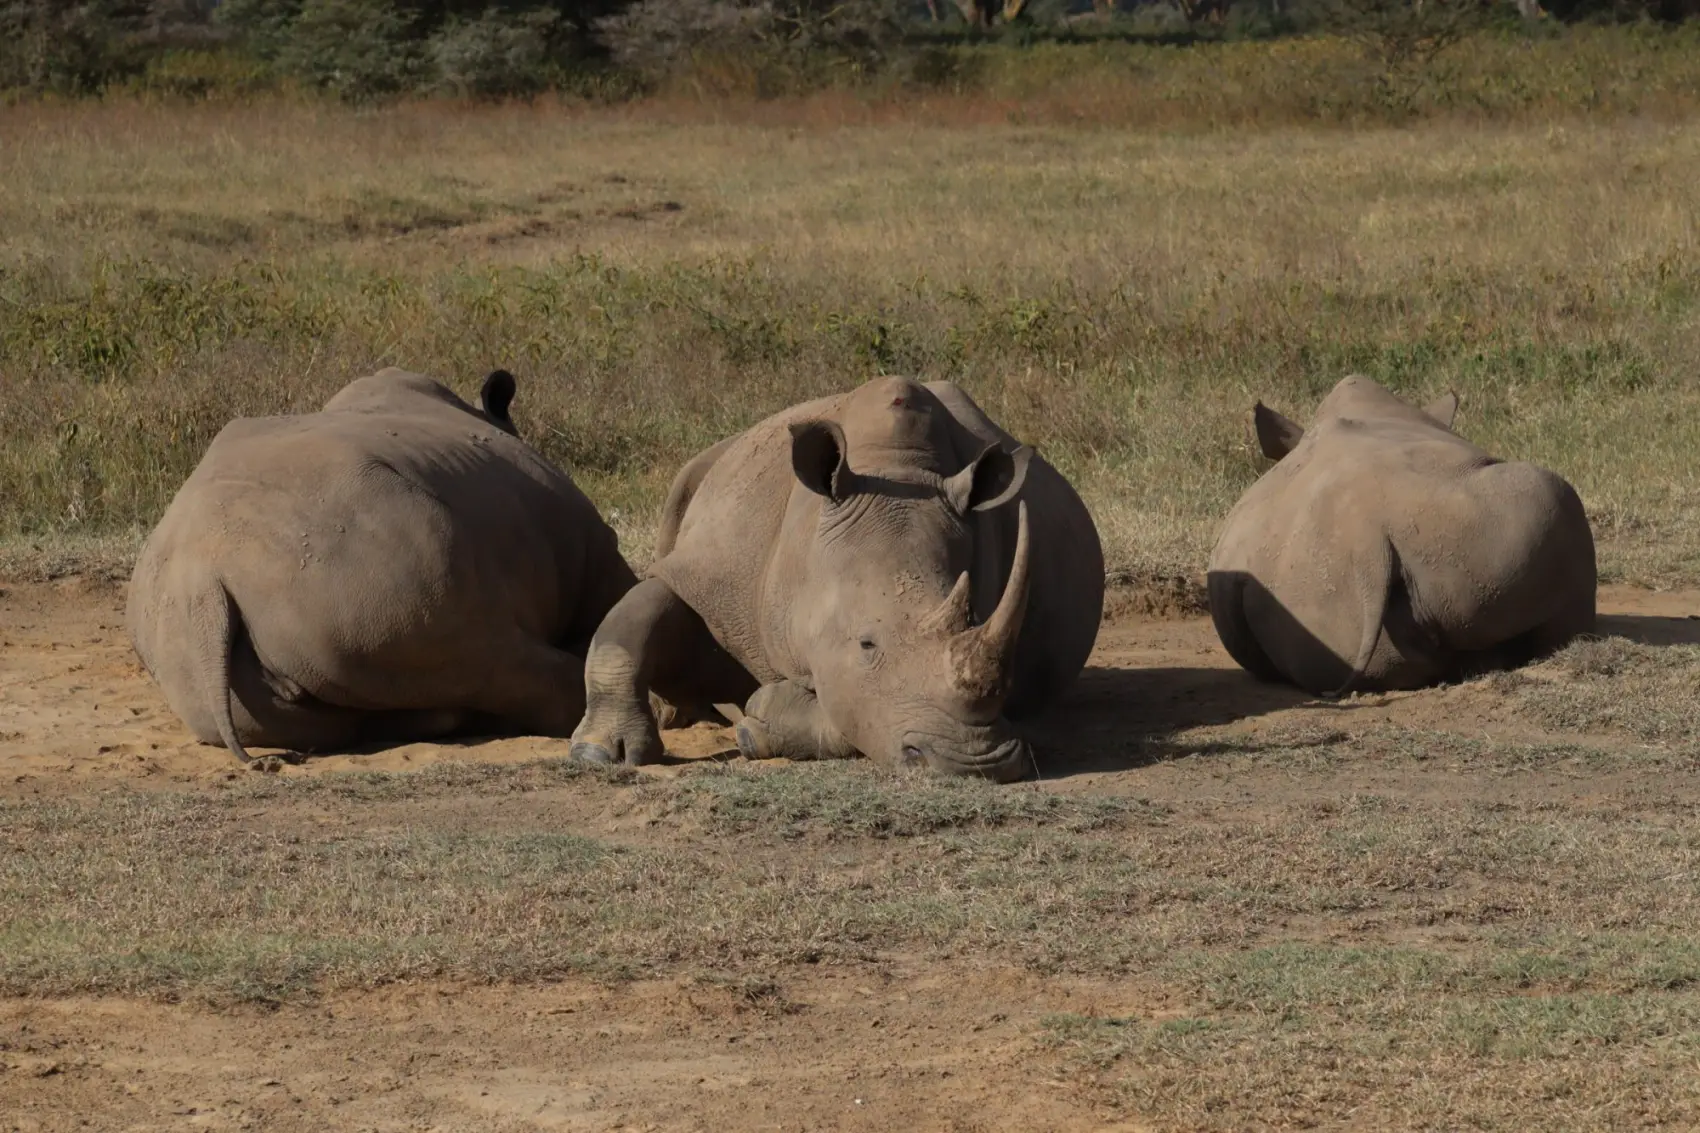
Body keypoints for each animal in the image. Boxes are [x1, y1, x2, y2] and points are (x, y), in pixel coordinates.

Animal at [566, 376, 1105, 782]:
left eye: (975, 617)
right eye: (866, 644)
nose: (976, 763)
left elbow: (852, 707)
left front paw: (759, 721)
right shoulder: (713, 570)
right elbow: (632, 618)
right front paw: (600, 753)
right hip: (698, 472)